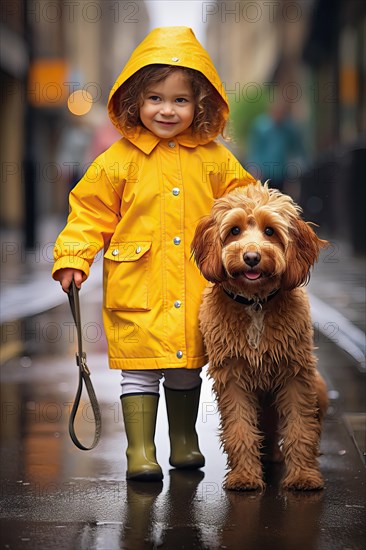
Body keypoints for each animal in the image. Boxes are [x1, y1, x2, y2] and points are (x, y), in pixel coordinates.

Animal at [192, 183, 328, 494]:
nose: (251, 257)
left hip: (319, 388)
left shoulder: (297, 375)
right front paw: (244, 477)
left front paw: (304, 477)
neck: (255, 303)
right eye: (234, 230)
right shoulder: (232, 378)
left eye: (270, 231)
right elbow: (240, 430)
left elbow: (300, 427)